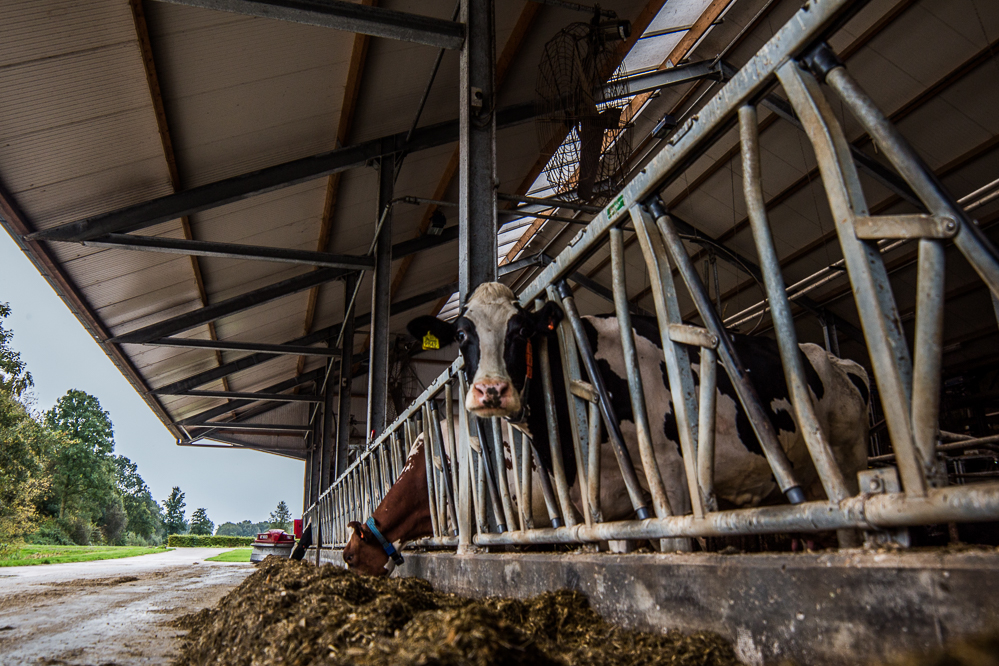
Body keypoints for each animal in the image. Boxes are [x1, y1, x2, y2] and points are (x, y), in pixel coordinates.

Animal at [406, 278, 868, 520]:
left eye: (519, 331)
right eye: (462, 335)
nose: (491, 392)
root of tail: (828, 355)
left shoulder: (672, 479)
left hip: (846, 458)